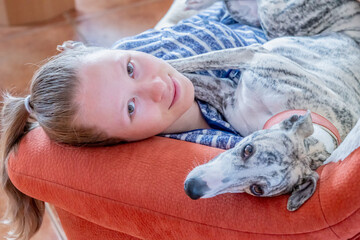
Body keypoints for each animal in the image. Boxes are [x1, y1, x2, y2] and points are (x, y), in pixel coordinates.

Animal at [167, 0, 360, 210]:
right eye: (248, 149)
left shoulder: (224, 94)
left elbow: (186, 80)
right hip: (277, 18)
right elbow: (176, 65)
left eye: (257, 189)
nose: (192, 188)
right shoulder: (249, 55)